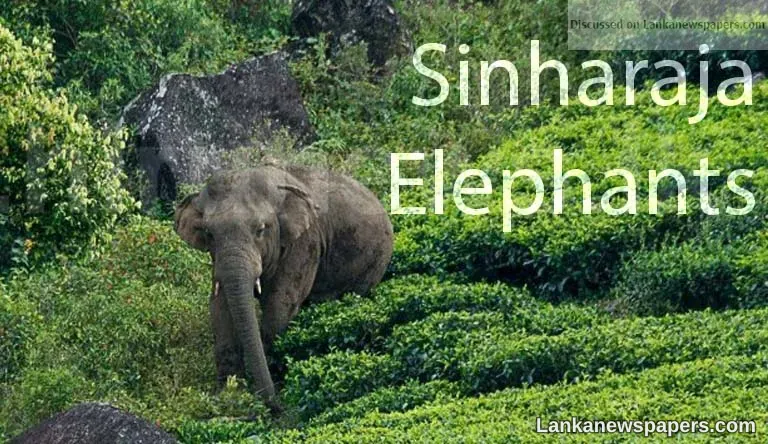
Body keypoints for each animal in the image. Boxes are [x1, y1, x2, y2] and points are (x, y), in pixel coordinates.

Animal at [174, 165, 393, 408]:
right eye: (209, 234)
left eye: (260, 230)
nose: (276, 406)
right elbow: (219, 307)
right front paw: (228, 395)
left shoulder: (304, 242)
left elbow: (281, 302)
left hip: (373, 263)